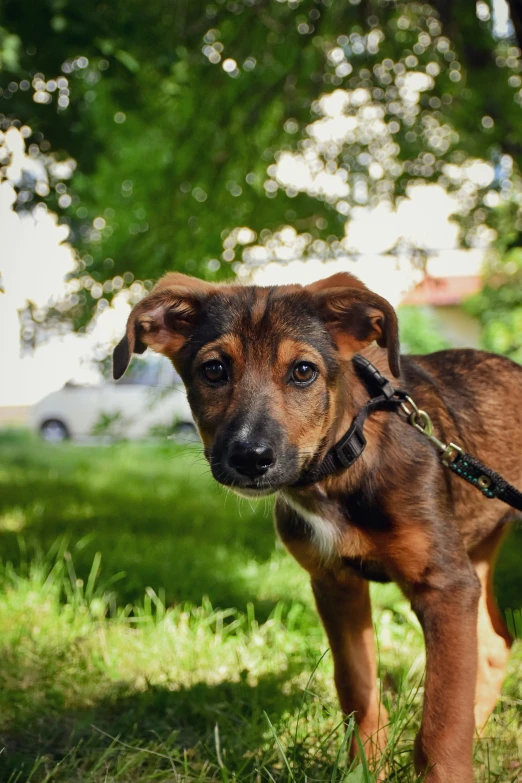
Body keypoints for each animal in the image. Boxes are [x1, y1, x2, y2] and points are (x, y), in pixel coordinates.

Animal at [112, 272, 516, 780]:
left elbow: (442, 722)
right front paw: (363, 769)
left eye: (303, 371)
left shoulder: (444, 585)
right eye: (214, 370)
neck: (341, 463)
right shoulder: (334, 583)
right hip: (476, 551)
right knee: (495, 644)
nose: (250, 458)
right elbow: (358, 689)